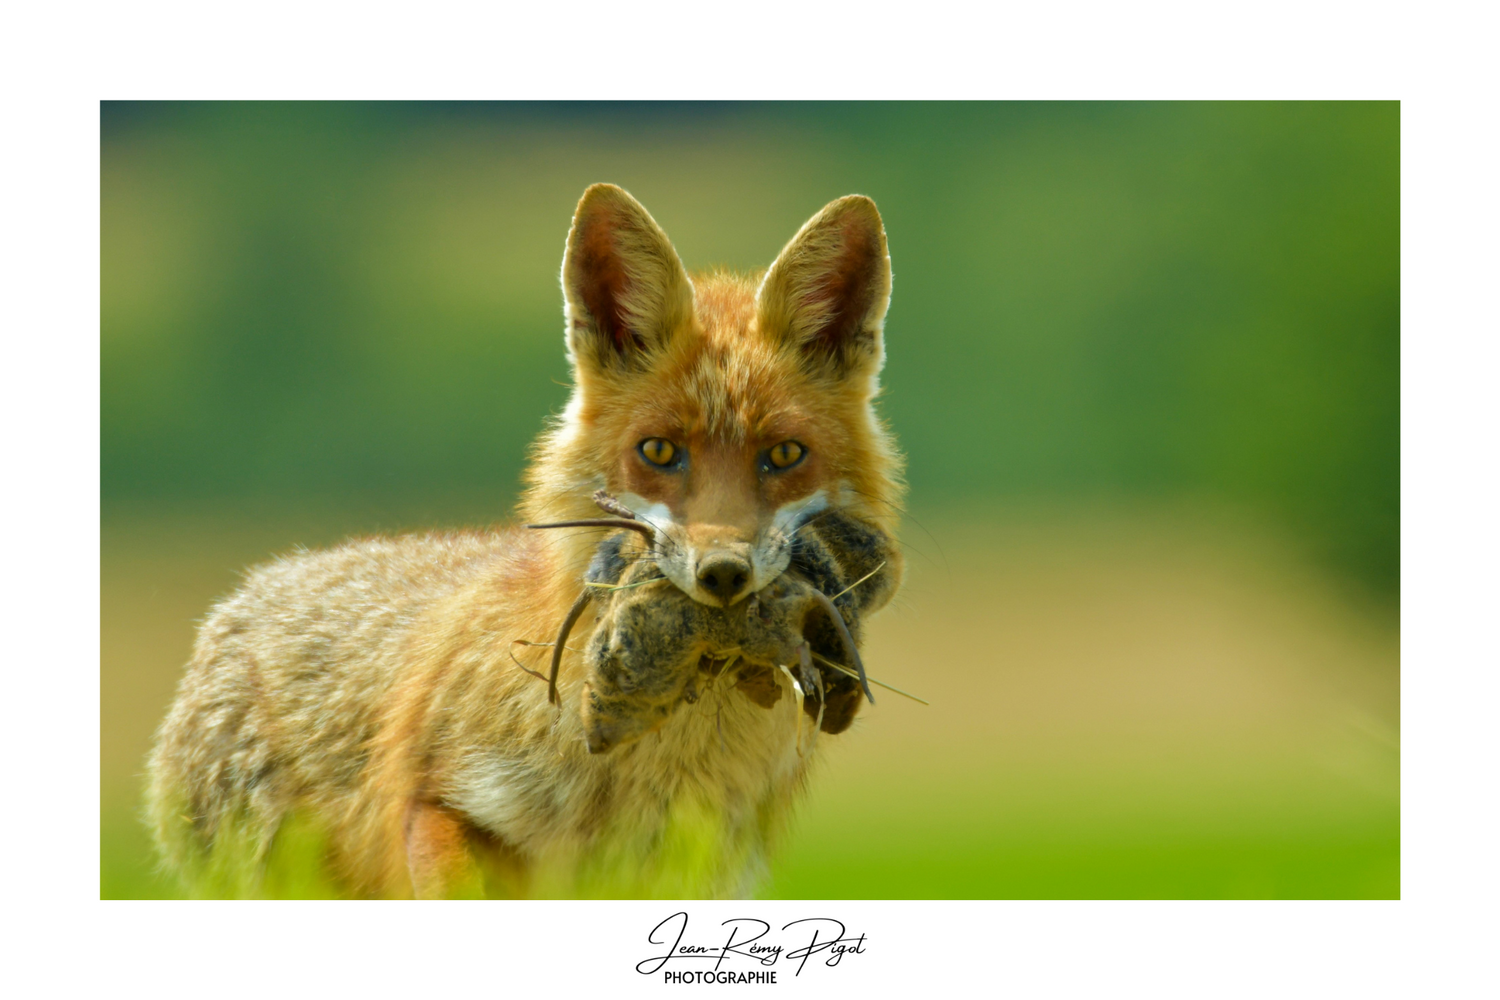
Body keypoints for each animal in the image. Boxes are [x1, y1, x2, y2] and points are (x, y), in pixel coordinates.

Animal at [145, 183, 905, 899]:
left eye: (783, 455)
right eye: (659, 452)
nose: (723, 573)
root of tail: (245, 595)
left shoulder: (692, 872)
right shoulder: (435, 801)